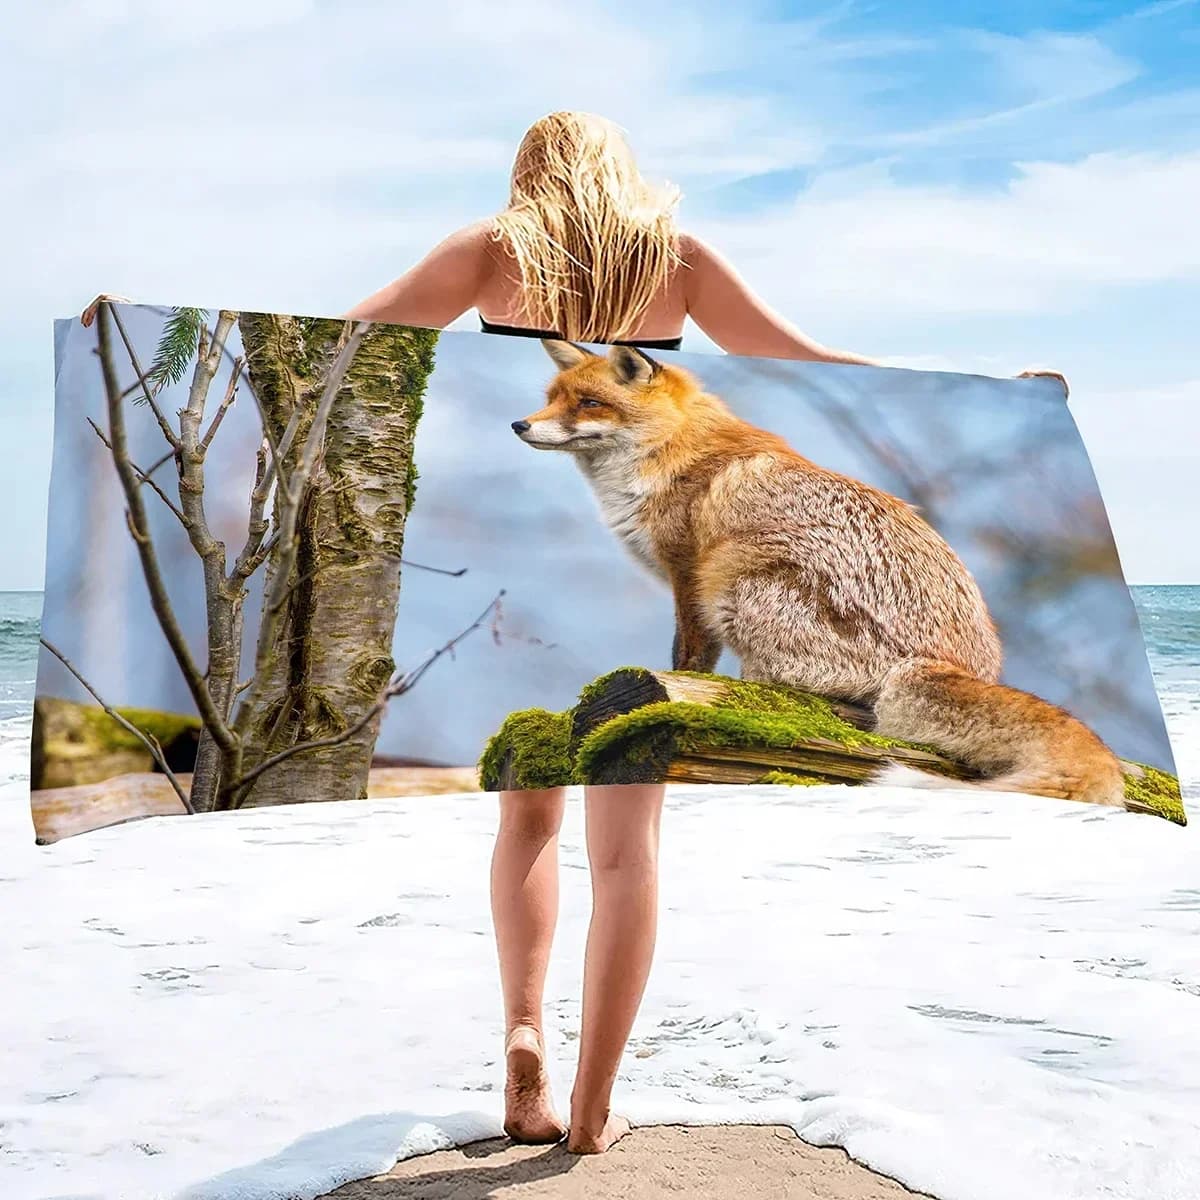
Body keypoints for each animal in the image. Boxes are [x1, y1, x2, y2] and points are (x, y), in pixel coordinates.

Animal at [509, 338, 1127, 808]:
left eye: (589, 402)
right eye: (551, 399)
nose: (519, 425)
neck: (668, 455)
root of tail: (953, 664)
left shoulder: (691, 575)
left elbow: (688, 660)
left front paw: (679, 690)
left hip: (738, 585)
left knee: (813, 694)